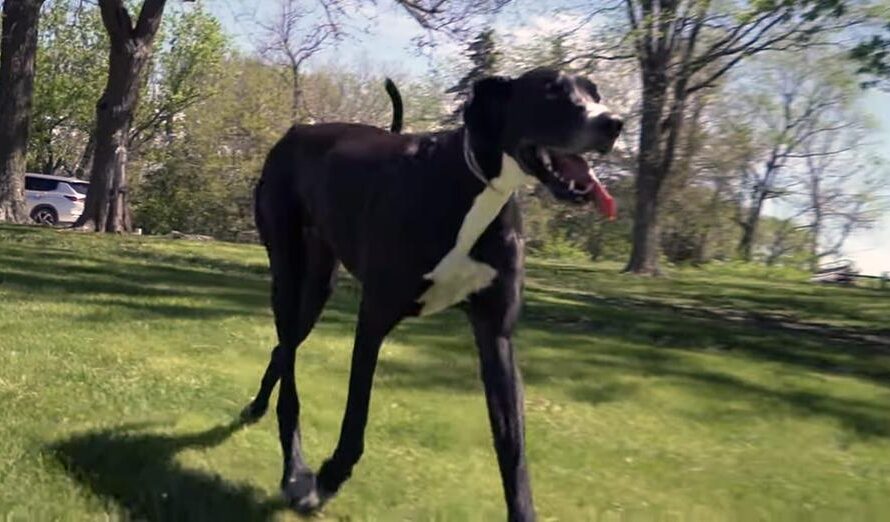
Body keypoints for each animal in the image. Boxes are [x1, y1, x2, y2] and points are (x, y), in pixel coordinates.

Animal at [239, 67, 620, 516]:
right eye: (551, 91)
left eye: (595, 93)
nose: (613, 123)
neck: (475, 185)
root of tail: (298, 130)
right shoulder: (374, 318)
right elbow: (355, 420)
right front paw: (328, 478)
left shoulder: (496, 335)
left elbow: (513, 448)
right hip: (288, 271)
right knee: (290, 372)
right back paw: (294, 467)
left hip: (317, 287)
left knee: (283, 349)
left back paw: (260, 408)